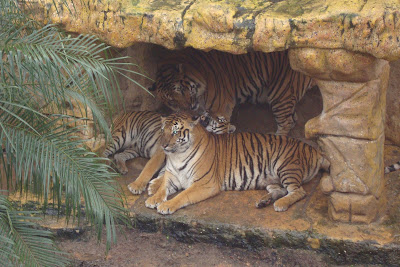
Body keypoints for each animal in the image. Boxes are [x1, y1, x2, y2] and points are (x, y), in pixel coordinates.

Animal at [145, 111, 330, 216]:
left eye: (175, 131)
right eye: (162, 130)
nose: (163, 145)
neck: (178, 155)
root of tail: (315, 150)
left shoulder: (205, 183)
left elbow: (183, 195)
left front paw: (166, 205)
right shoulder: (172, 176)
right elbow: (163, 187)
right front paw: (153, 198)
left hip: (286, 167)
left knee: (299, 192)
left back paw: (280, 204)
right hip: (273, 179)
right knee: (281, 190)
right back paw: (264, 201)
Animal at [149, 48, 312, 136]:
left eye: (181, 89)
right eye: (171, 101)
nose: (188, 108)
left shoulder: (220, 110)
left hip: (280, 94)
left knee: (286, 122)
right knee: (292, 118)